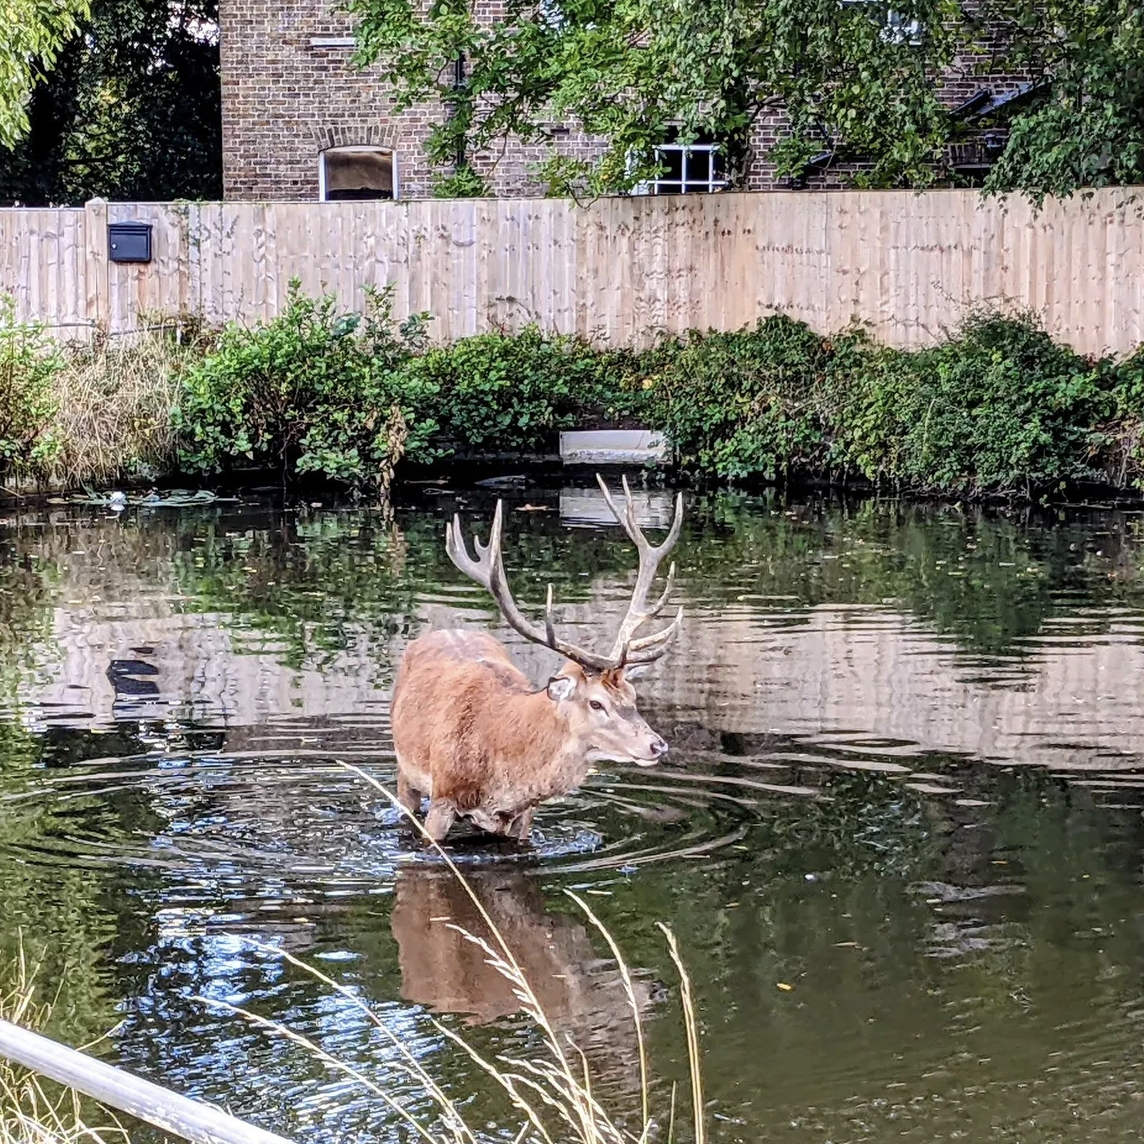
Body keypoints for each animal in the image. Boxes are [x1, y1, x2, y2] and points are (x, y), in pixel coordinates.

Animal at [390, 474, 684, 843]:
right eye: (596, 703)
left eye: (632, 696)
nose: (657, 745)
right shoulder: (443, 796)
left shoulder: (525, 815)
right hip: (405, 769)